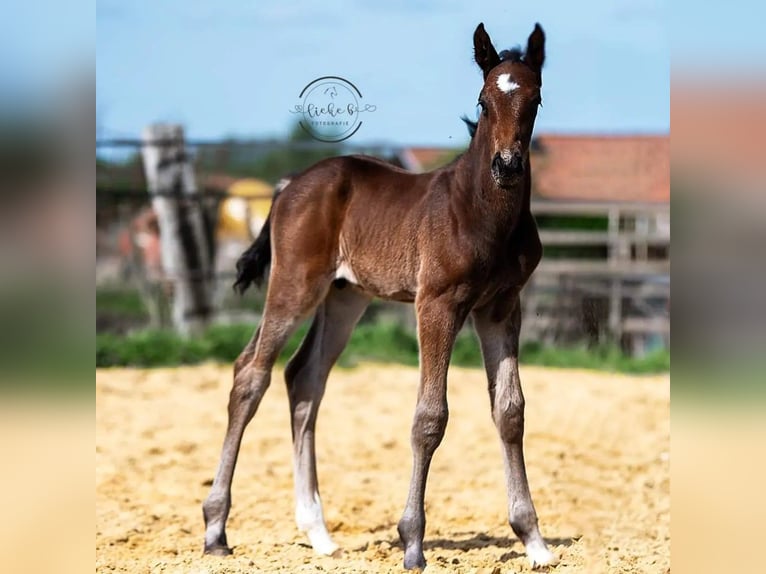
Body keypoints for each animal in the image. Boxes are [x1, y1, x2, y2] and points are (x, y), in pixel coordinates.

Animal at [204, 21, 560, 572]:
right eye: (482, 101)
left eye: (536, 99)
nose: (507, 165)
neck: (480, 212)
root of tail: (288, 184)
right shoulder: (437, 303)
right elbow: (430, 416)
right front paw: (412, 543)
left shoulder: (501, 307)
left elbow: (510, 411)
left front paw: (533, 540)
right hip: (295, 284)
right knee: (251, 375)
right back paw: (216, 529)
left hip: (344, 297)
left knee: (303, 378)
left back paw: (319, 534)